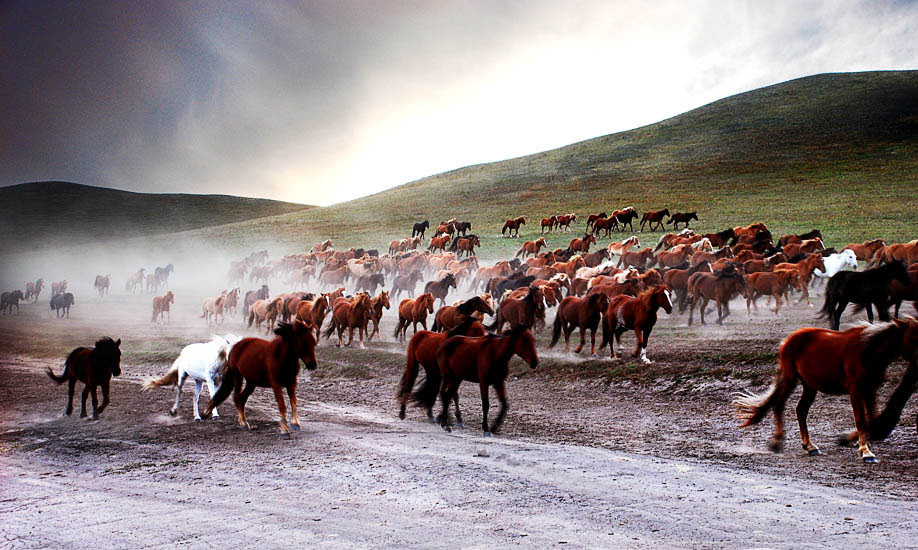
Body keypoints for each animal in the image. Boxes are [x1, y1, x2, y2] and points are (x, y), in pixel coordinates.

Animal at [732, 320, 918, 466]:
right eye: (913, 336)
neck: (868, 350)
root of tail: (787, 341)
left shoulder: (870, 390)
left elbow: (872, 419)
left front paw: (849, 439)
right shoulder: (856, 390)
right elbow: (861, 420)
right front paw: (865, 452)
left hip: (809, 386)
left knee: (801, 410)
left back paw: (810, 446)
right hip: (790, 379)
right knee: (779, 405)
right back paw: (777, 441)